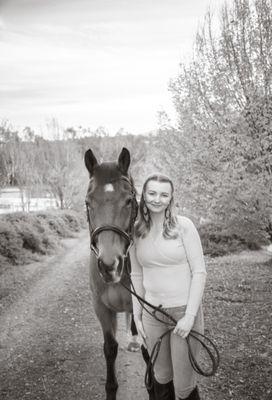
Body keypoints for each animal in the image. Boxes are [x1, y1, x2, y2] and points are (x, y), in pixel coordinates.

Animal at [84, 148, 154, 400]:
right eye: (88, 202)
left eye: (129, 201)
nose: (109, 264)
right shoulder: (101, 309)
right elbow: (110, 348)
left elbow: (148, 350)